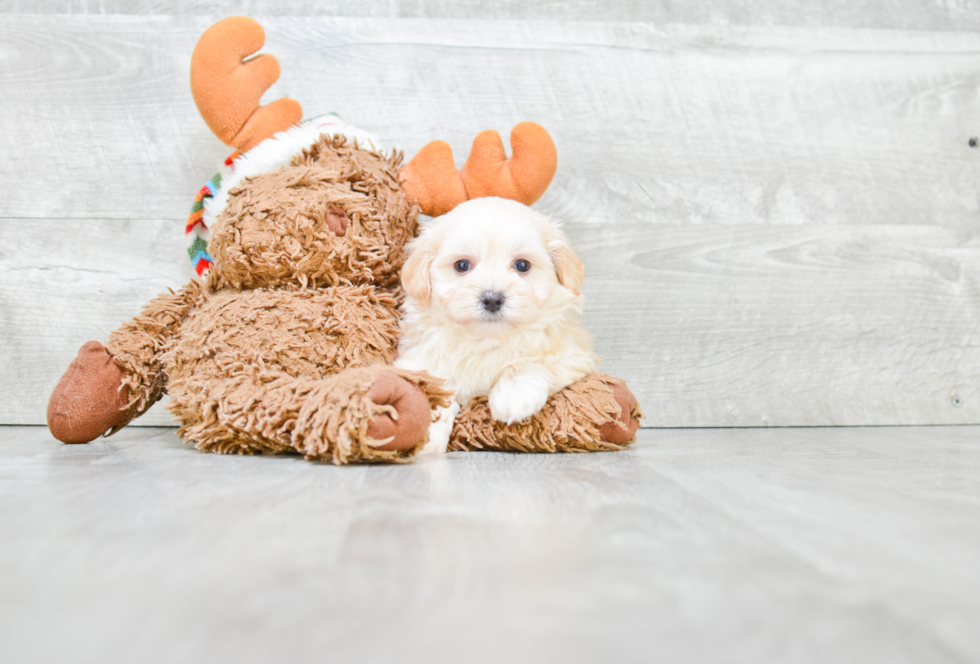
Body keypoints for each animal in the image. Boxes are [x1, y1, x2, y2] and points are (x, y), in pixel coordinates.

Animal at [396, 196, 596, 452]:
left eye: (522, 265)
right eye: (462, 265)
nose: (492, 299)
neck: (486, 339)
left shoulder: (573, 354)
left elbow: (528, 363)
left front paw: (513, 397)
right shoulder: (419, 359)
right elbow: (433, 386)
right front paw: (426, 434)